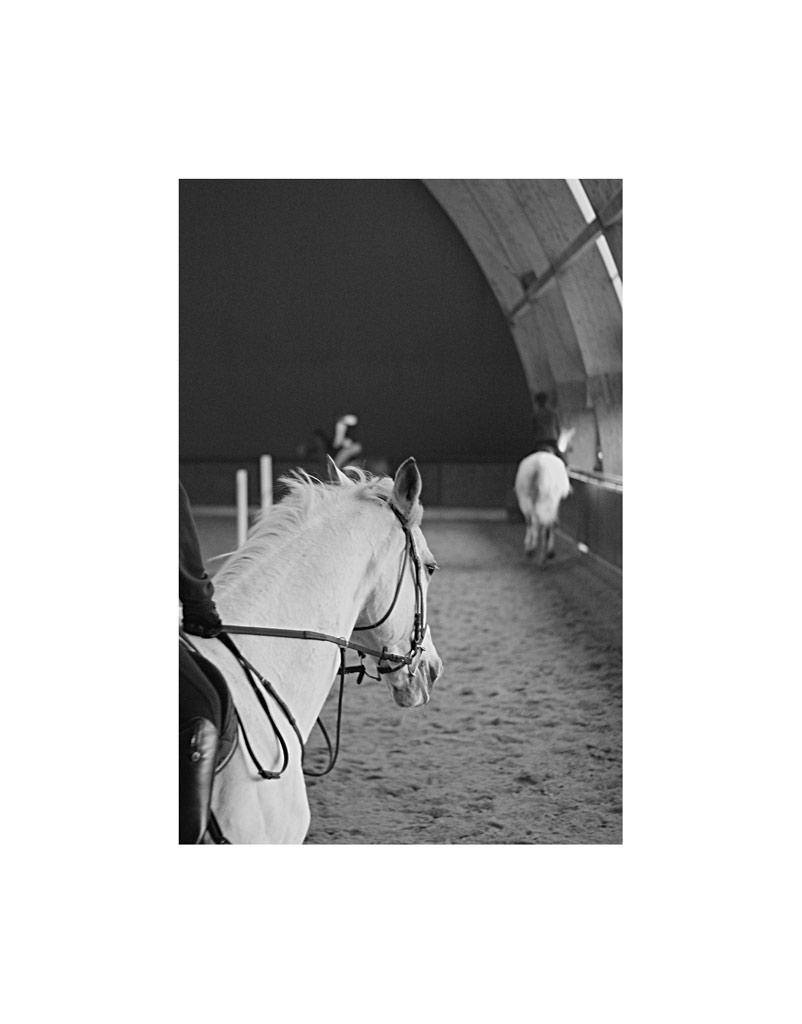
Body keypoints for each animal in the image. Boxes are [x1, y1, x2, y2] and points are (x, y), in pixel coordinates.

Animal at [514, 428, 575, 564]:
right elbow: (553, 523)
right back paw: (542, 553)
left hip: (525, 499)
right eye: (569, 448)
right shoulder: (556, 502)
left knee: (531, 521)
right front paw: (549, 551)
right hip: (548, 500)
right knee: (545, 523)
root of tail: (538, 466)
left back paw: (531, 549)